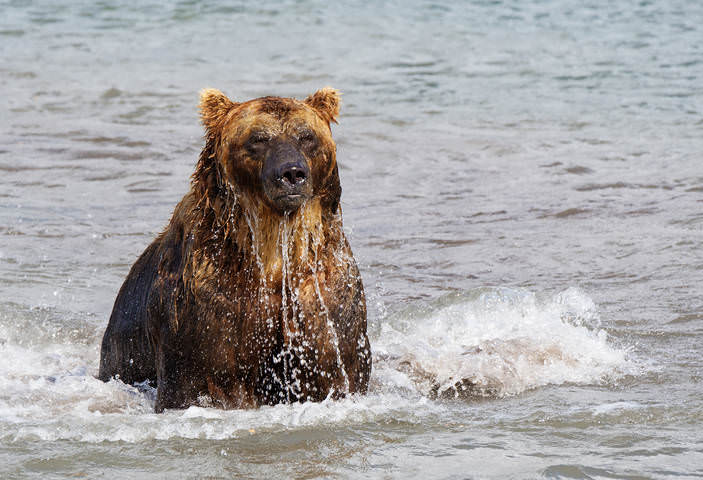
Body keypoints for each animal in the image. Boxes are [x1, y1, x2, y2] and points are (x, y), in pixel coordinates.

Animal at [98, 87, 371, 412]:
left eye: (306, 136)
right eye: (258, 138)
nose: (292, 173)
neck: (272, 250)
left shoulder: (321, 292)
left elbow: (334, 365)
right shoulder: (206, 298)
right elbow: (195, 378)